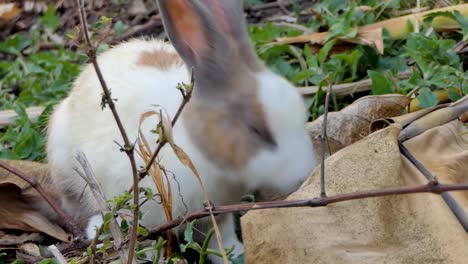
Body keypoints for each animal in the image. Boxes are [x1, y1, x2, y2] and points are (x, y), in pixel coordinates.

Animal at [46, 0, 318, 260]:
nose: (304, 174)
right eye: (256, 130)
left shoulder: (217, 211)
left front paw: (235, 253)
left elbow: (221, 235)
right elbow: (139, 237)